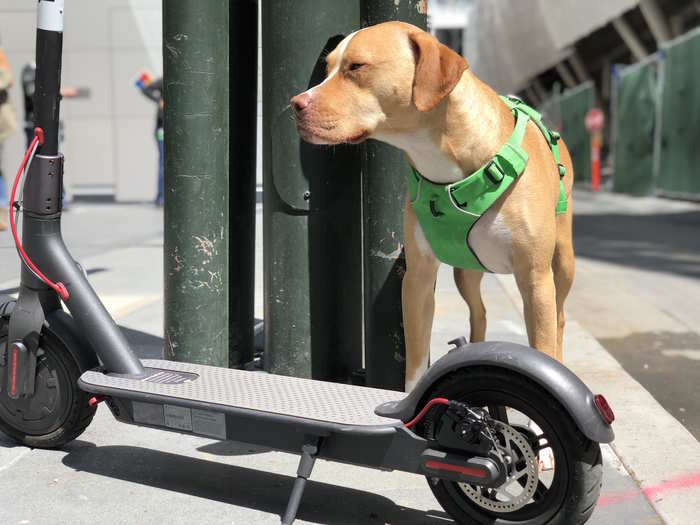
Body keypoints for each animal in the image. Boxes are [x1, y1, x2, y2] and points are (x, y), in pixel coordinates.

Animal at [292, 21, 576, 388]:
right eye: (326, 69)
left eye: (356, 66)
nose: (295, 104)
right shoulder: (418, 280)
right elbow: (415, 359)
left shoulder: (535, 279)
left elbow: (543, 345)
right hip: (466, 272)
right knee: (479, 313)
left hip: (562, 263)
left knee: (559, 318)